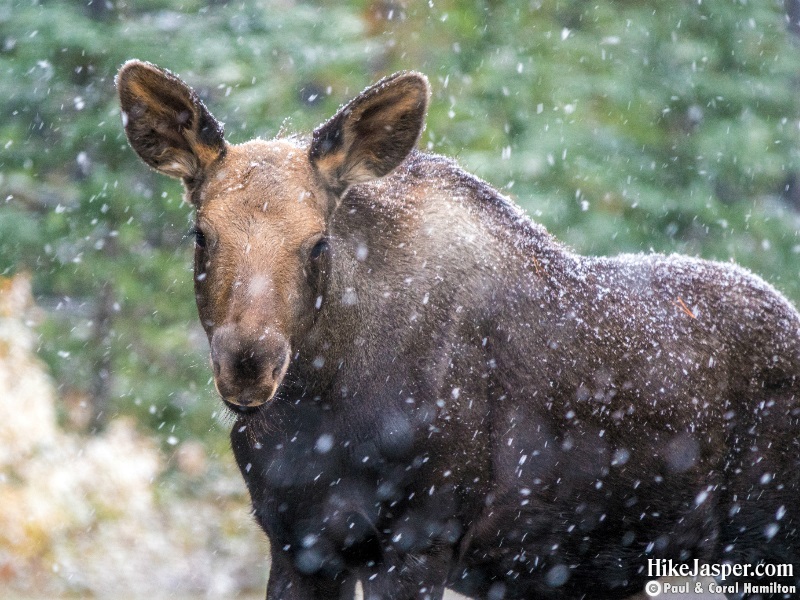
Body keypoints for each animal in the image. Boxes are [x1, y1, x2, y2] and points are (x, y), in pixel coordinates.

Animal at [119, 62, 800, 600]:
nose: (248, 363)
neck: (319, 410)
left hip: (765, 536)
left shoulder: (420, 536)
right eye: (201, 234)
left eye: (318, 242)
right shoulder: (297, 542)